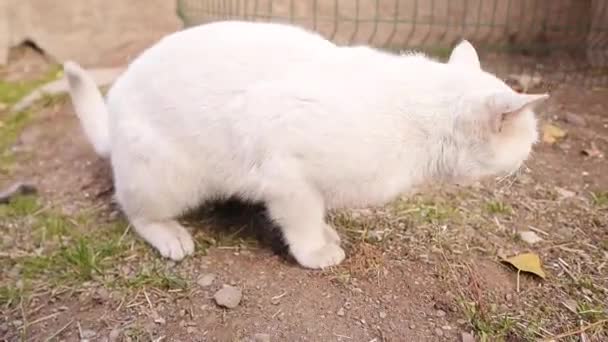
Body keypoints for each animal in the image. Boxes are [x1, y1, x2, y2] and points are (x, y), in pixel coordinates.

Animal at [64, 20, 548, 268]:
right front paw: (316, 251)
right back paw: (170, 235)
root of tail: (112, 117)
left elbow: (319, 212)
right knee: (135, 211)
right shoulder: (288, 177)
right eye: (529, 137)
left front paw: (328, 233)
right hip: (165, 179)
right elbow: (302, 222)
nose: (533, 152)